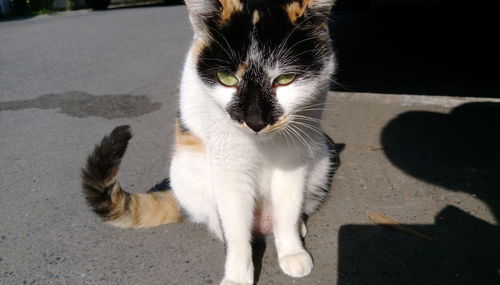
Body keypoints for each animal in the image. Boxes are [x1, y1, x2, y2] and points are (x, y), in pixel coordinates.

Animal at [82, 1, 338, 282]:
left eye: (284, 79)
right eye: (227, 78)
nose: (255, 121)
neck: (262, 145)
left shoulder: (293, 158)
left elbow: (287, 211)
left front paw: (292, 252)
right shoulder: (228, 165)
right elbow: (235, 227)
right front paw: (237, 275)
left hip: (321, 159)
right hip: (187, 168)